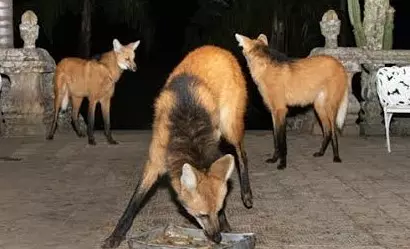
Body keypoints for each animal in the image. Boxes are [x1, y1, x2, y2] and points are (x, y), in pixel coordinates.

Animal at [235, 32, 348, 169]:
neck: (265, 69)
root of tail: (340, 64)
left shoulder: (281, 110)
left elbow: (281, 140)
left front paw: (282, 164)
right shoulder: (274, 112)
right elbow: (276, 139)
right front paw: (274, 159)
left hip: (330, 107)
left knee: (333, 130)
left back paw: (336, 157)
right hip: (319, 106)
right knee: (327, 131)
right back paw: (320, 153)